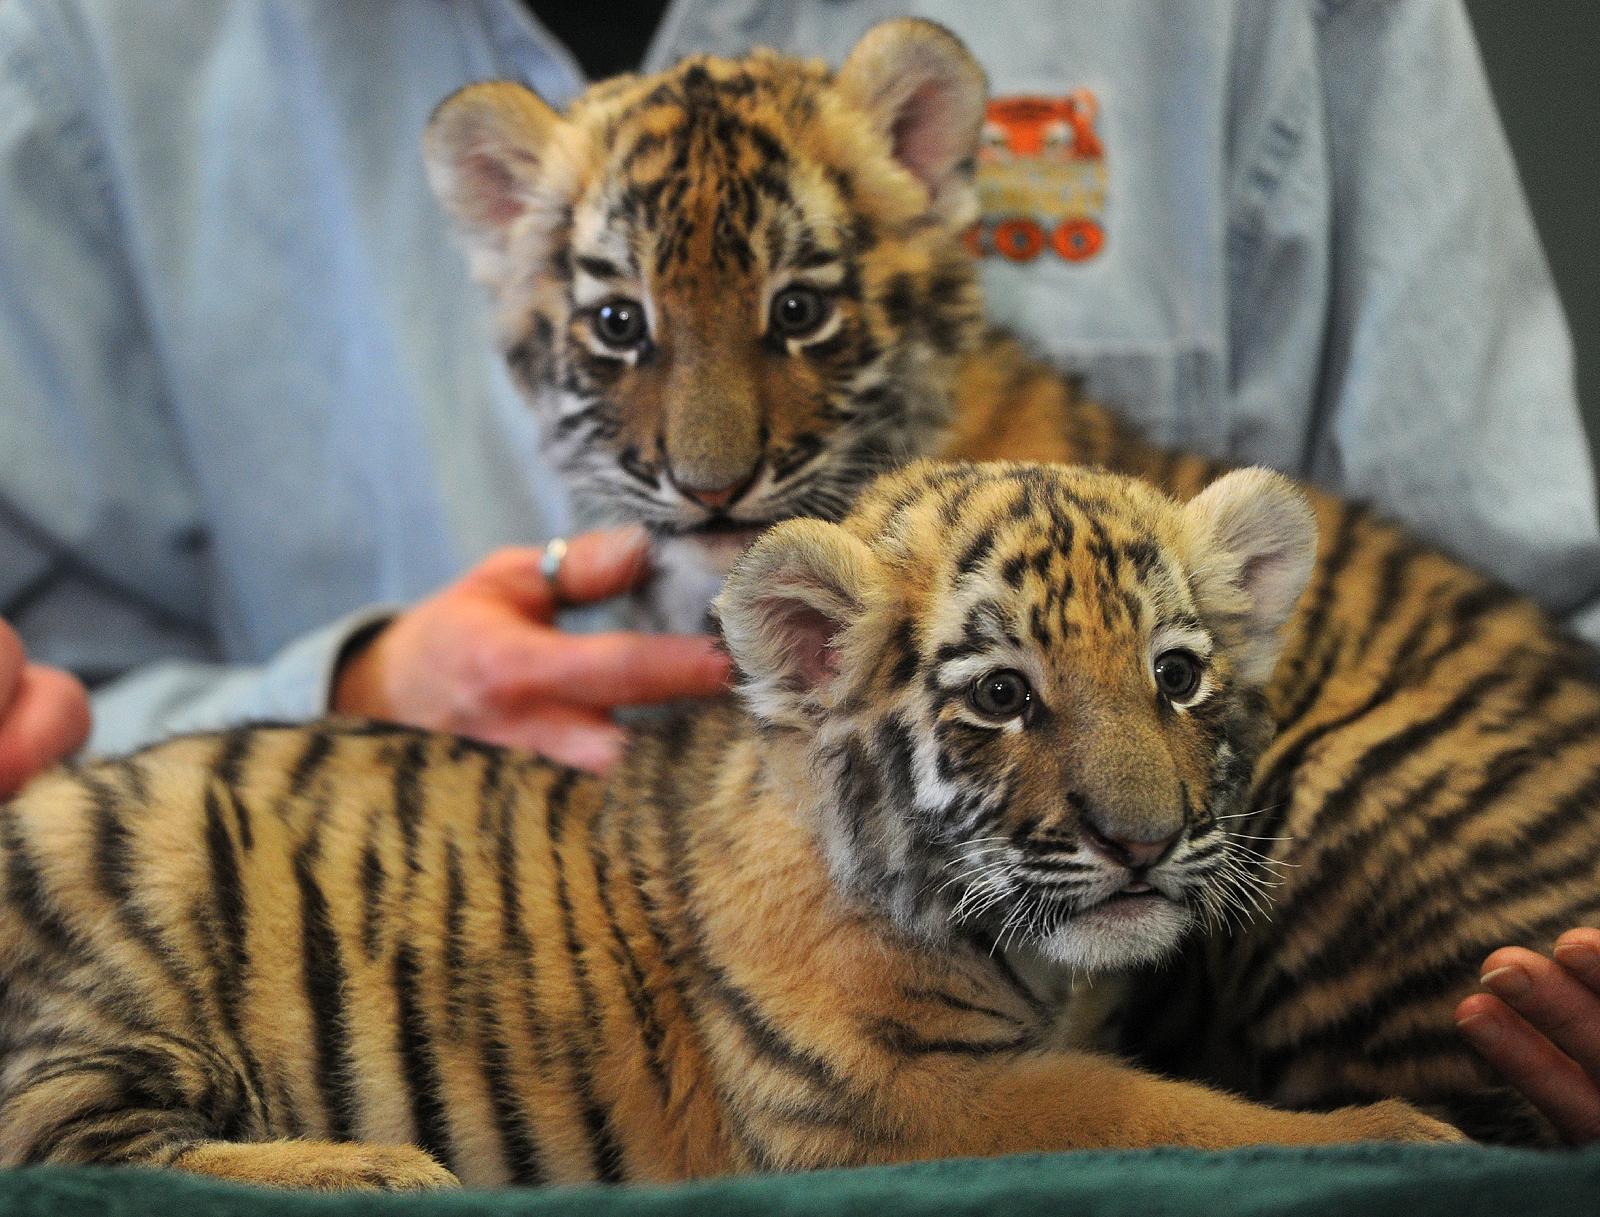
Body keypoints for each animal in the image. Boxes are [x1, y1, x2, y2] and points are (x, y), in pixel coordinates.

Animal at [0, 461, 1467, 1190]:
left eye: (1178, 675)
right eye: (1002, 695)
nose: (1146, 843)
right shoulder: (899, 1094)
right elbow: (1168, 1114)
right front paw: (1408, 1131)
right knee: (76, 1156)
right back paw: (381, 1172)